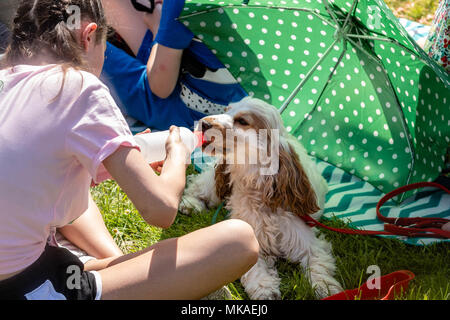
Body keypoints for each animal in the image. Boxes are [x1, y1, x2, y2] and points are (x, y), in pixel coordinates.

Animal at [178, 97, 342, 300]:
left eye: (242, 121)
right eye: (226, 110)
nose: (203, 123)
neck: (257, 189)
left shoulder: (308, 242)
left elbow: (319, 267)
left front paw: (327, 289)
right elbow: (255, 268)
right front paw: (265, 289)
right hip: (214, 183)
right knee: (198, 186)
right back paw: (190, 204)